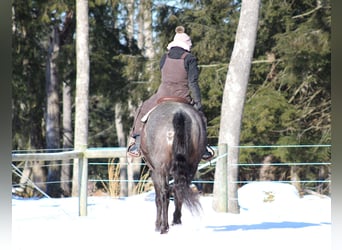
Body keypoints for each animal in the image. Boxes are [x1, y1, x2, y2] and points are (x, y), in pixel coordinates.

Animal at [139, 98, 206, 233]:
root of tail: (180, 113)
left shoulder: (154, 172)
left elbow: (158, 198)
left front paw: (157, 224)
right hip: (192, 166)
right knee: (180, 189)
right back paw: (176, 220)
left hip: (162, 169)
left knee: (165, 193)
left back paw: (164, 227)